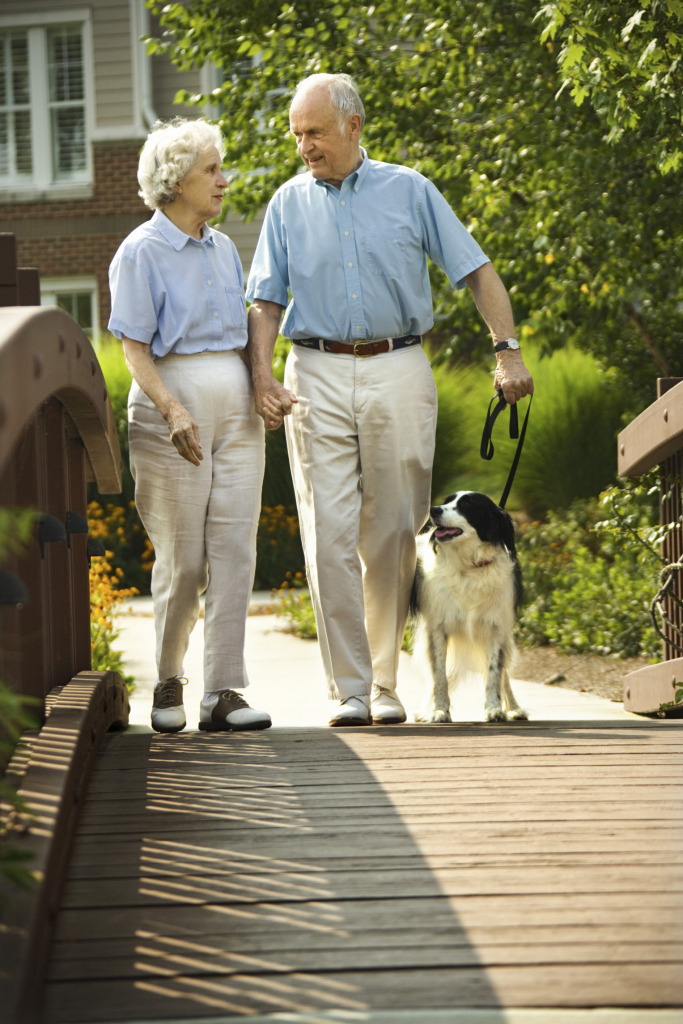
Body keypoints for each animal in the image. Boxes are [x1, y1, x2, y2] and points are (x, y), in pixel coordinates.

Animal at [411, 491, 528, 724]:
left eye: (466, 505)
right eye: (447, 501)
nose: (434, 510)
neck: (469, 566)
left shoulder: (496, 628)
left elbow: (494, 674)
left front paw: (494, 709)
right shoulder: (437, 629)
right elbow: (439, 675)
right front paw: (439, 711)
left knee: (504, 675)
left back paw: (514, 708)